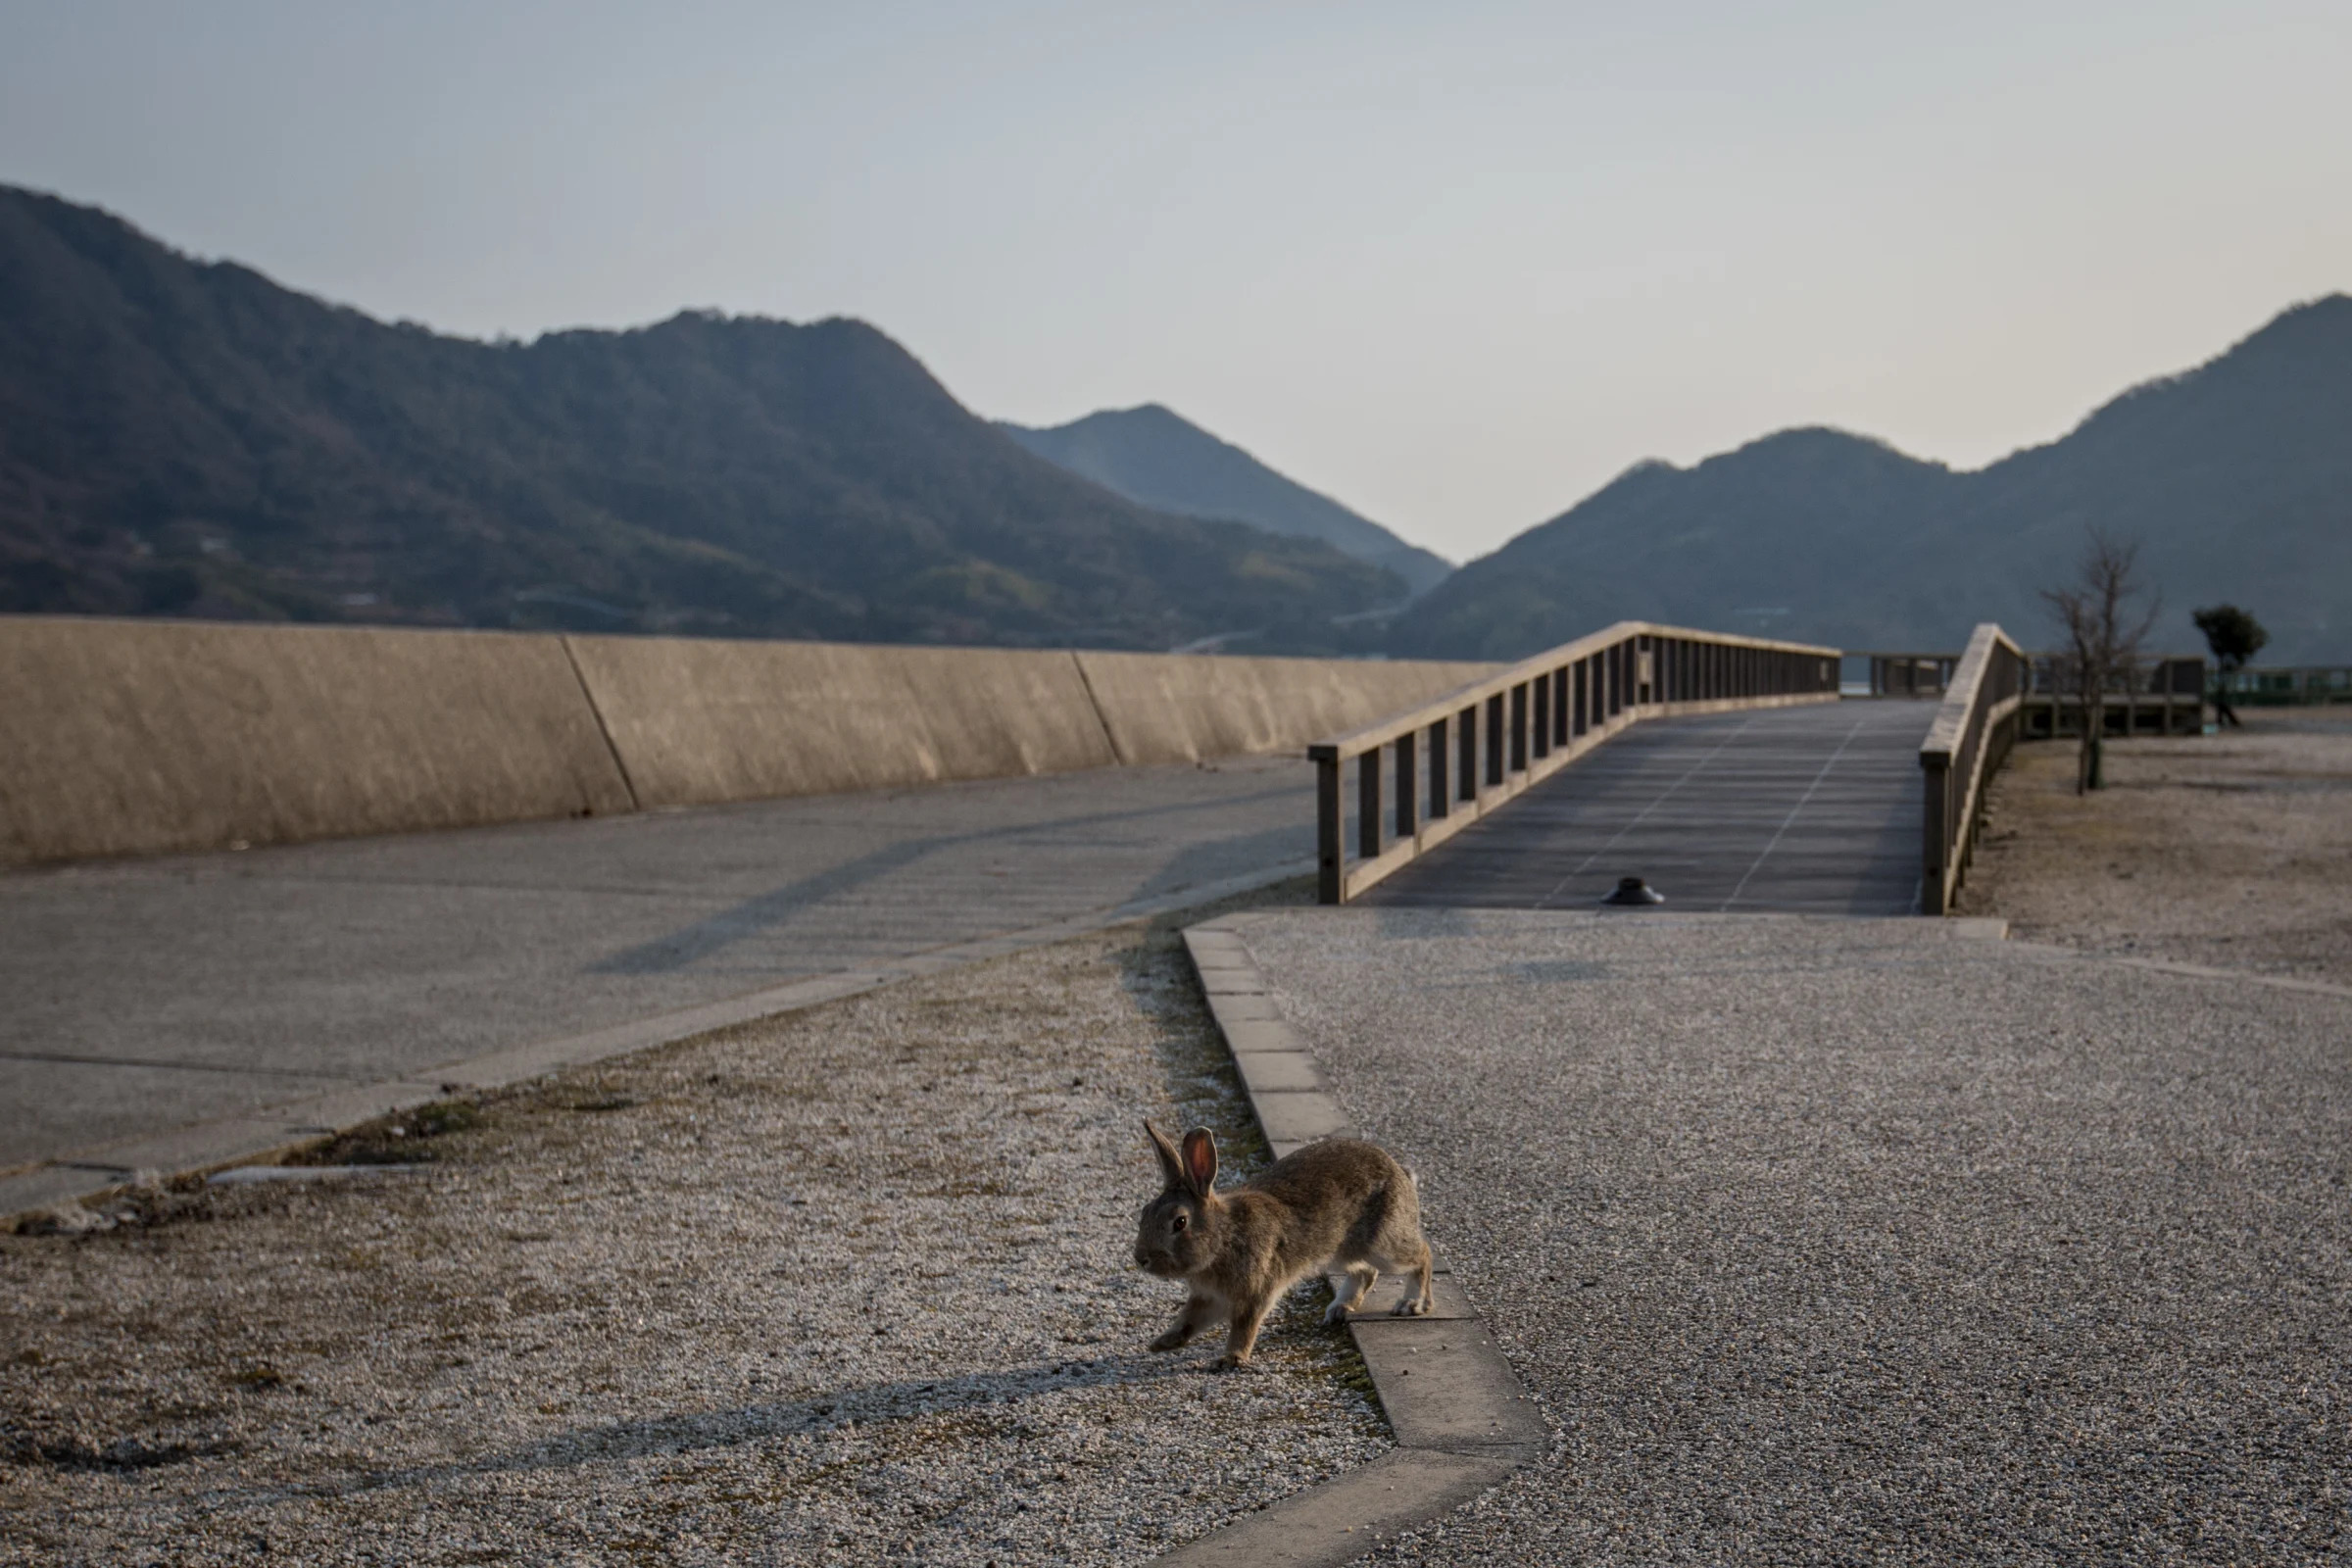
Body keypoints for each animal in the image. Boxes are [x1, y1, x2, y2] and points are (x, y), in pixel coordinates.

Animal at [1124, 1123, 1430, 1363]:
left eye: (1180, 1222)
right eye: (1144, 1212)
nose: (1141, 1258)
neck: (1223, 1237)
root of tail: (1401, 1174)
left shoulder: (1256, 1290)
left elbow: (1244, 1324)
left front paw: (1231, 1358)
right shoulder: (1209, 1297)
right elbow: (1189, 1318)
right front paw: (1163, 1342)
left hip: (1381, 1243)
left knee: (1421, 1255)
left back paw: (1411, 1303)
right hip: (1339, 1252)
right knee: (1364, 1271)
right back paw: (1338, 1309)